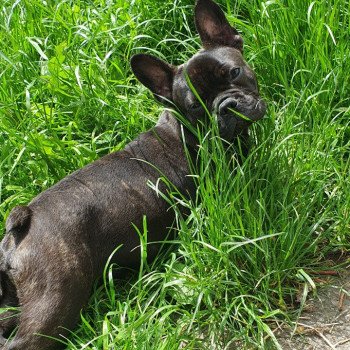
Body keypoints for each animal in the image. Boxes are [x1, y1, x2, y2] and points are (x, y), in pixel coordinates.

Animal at [0, 1, 266, 348]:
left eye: (234, 72)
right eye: (194, 106)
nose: (226, 105)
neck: (186, 131)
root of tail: (20, 226)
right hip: (56, 296)